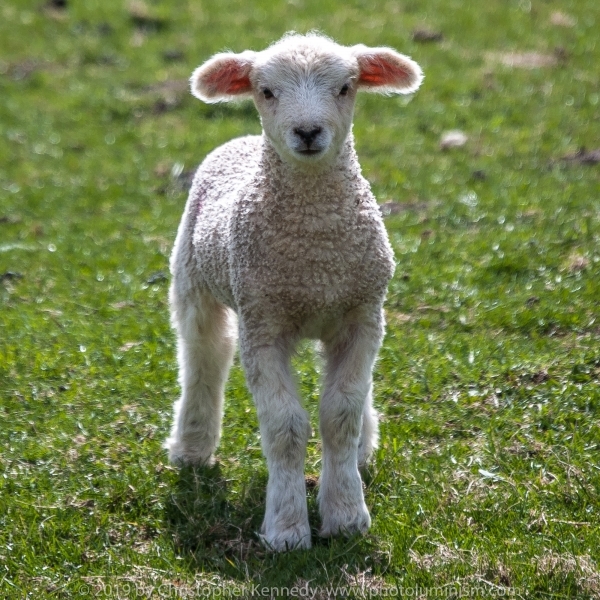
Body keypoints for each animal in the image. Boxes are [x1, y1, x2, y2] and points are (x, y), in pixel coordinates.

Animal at [164, 31, 422, 548]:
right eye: (266, 91)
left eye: (346, 87)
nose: (306, 132)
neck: (312, 256)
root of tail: (242, 142)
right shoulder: (263, 324)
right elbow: (284, 427)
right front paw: (286, 528)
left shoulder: (362, 316)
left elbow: (340, 414)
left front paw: (346, 514)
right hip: (194, 280)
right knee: (204, 355)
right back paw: (192, 446)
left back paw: (363, 447)